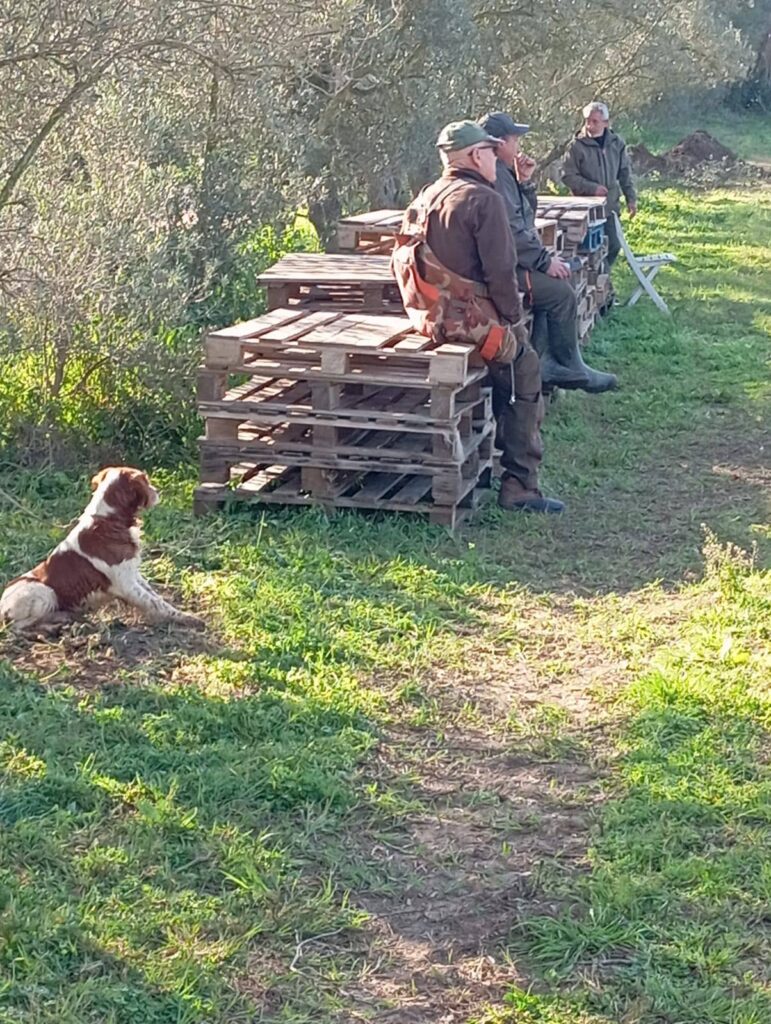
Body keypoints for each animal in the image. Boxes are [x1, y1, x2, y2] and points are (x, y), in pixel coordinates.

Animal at [0, 466, 202, 630]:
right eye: (146, 480)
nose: (157, 491)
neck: (108, 520)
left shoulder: (133, 573)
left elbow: (156, 596)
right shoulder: (126, 584)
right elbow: (155, 603)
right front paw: (187, 618)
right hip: (46, 592)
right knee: (19, 627)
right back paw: (55, 625)